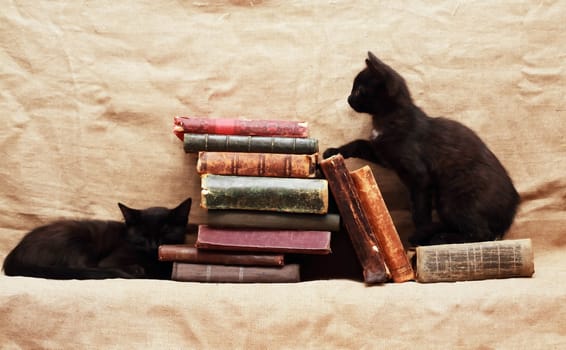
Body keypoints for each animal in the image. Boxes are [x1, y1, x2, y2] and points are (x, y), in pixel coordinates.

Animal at [1, 198, 193, 280]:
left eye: (165, 232)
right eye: (142, 235)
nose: (154, 246)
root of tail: (14, 256)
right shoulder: (112, 259)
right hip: (76, 238)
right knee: (79, 266)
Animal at [326, 52, 520, 246]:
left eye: (359, 90)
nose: (348, 99)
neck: (387, 118)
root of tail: (512, 208)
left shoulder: (419, 177)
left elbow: (419, 210)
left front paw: (419, 235)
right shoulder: (382, 154)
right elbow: (358, 143)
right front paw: (334, 151)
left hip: (454, 199)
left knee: (480, 233)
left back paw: (438, 238)